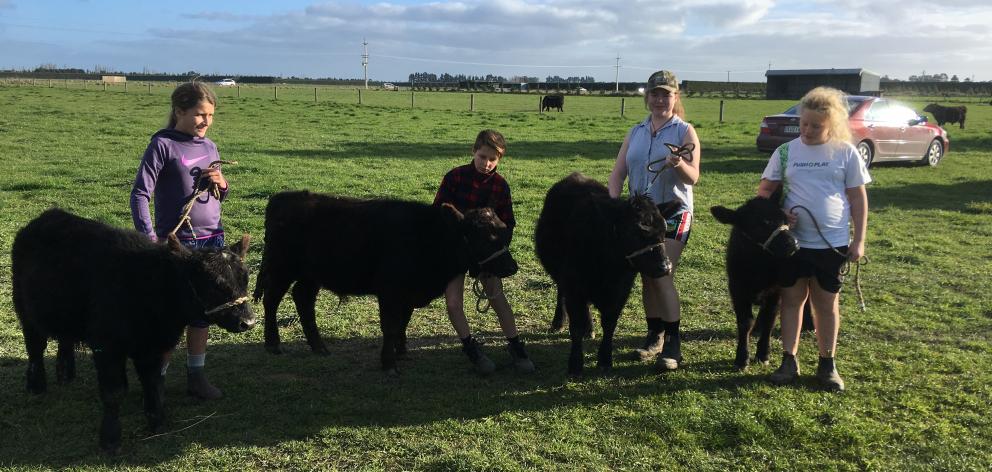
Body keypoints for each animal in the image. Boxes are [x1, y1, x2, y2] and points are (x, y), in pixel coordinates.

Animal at [13, 208, 254, 452]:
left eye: (245, 278)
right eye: (214, 284)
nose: (249, 322)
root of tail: (48, 216)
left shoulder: (153, 346)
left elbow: (152, 382)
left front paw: (157, 422)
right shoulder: (107, 347)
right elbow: (114, 392)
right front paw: (110, 439)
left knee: (65, 339)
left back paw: (65, 374)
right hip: (24, 310)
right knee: (35, 348)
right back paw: (36, 385)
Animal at [254, 190, 520, 374]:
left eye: (503, 230)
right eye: (485, 238)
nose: (512, 267)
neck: (428, 236)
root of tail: (281, 197)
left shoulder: (407, 294)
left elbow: (403, 322)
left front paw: (400, 351)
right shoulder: (390, 291)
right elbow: (390, 326)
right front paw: (389, 363)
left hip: (311, 275)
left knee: (303, 299)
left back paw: (319, 347)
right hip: (282, 267)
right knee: (272, 299)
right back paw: (273, 344)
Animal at [536, 173, 680, 376]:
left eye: (663, 231)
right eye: (635, 232)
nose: (665, 267)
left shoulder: (620, 291)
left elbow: (609, 324)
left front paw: (605, 359)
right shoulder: (574, 286)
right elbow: (576, 326)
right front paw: (575, 364)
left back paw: (589, 328)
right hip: (560, 275)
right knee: (560, 294)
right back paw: (558, 322)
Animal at [708, 190, 804, 370]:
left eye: (784, 219)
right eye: (760, 225)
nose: (793, 244)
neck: (759, 268)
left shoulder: (776, 291)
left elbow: (770, 319)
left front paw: (763, 354)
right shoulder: (737, 290)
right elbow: (745, 322)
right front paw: (742, 358)